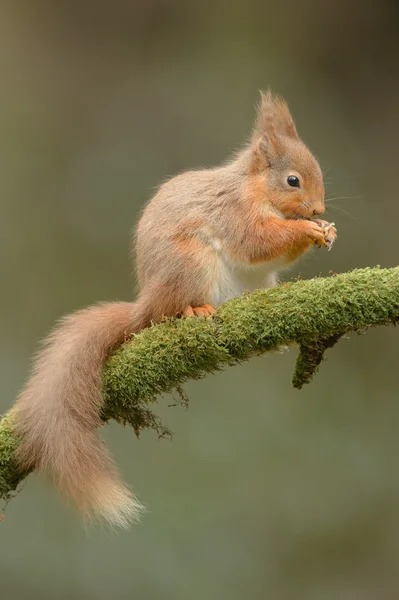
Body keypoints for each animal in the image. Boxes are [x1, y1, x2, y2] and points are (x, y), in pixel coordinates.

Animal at [12, 91, 338, 528]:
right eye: (292, 180)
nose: (318, 210)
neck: (253, 188)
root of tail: (146, 303)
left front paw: (327, 232)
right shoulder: (236, 214)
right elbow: (257, 242)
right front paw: (307, 230)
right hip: (190, 267)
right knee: (170, 311)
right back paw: (192, 312)